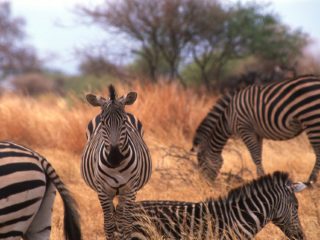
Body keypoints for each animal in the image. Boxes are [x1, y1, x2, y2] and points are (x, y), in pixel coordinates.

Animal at [82, 85, 153, 239]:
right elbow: (108, 225)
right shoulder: (102, 190)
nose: (114, 158)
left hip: (123, 192)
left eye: (124, 122)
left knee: (120, 217)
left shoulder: (130, 189)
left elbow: (126, 224)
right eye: (103, 123)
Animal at [191, 75, 320, 184]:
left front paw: (262, 179)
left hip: (312, 119)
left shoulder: (245, 129)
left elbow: (255, 156)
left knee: (318, 152)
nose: (206, 185)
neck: (227, 117)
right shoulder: (258, 133)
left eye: (201, 162)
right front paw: (261, 178)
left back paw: (311, 182)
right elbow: (259, 155)